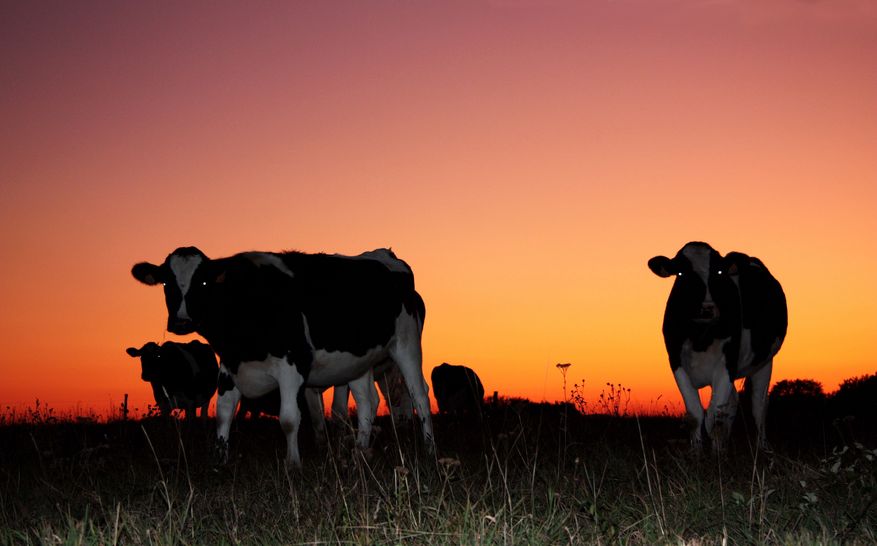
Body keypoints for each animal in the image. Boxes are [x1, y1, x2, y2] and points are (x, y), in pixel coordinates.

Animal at [132, 246, 432, 464]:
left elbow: (289, 418)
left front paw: (293, 463)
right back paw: (359, 450)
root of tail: (386, 256)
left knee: (419, 395)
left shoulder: (292, 366)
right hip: (358, 362)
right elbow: (224, 415)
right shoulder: (229, 368)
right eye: (166, 283)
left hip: (406, 346)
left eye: (204, 282)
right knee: (367, 402)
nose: (181, 322)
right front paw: (220, 459)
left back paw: (429, 447)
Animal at [644, 242, 788, 450]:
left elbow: (713, 416)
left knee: (759, 405)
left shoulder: (727, 363)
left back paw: (762, 447)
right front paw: (697, 451)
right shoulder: (676, 362)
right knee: (733, 402)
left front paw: (717, 455)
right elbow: (695, 414)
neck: (700, 338)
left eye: (718, 272)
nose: (707, 308)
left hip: (764, 361)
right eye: (681, 273)